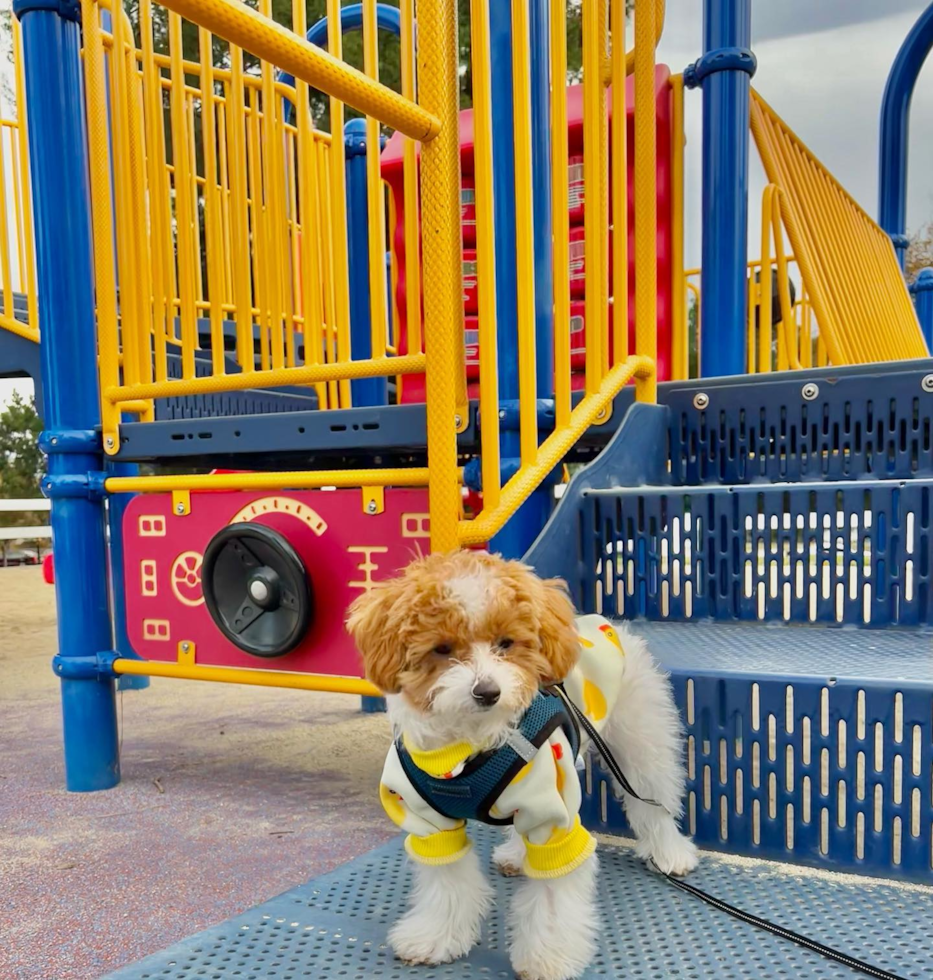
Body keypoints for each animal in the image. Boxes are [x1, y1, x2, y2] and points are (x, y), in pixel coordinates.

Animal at [346, 552, 696, 980]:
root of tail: (602, 624)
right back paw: (515, 855)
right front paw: (435, 938)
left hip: (641, 744)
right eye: (442, 648)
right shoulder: (430, 824)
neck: (469, 746)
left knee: (654, 801)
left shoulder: (554, 821)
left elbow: (553, 895)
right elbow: (447, 885)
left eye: (505, 643)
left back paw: (671, 853)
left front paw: (548, 957)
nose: (487, 691)